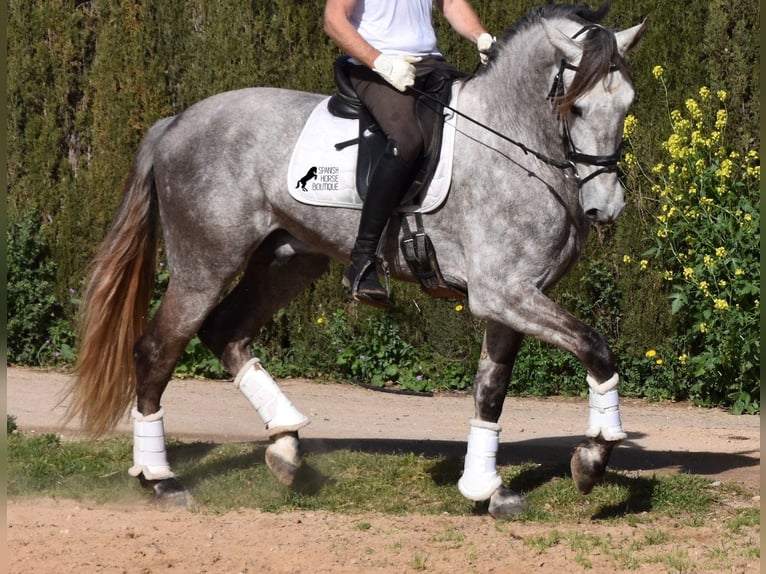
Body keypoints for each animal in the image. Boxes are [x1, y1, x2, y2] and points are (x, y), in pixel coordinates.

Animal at [63, 3, 644, 516]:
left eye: (628, 104)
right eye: (577, 107)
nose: (605, 206)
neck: (515, 142)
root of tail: (176, 122)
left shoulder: (513, 296)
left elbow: (491, 390)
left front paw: (487, 489)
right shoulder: (502, 293)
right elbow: (596, 349)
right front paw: (592, 459)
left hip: (288, 261)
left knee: (226, 332)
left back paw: (286, 446)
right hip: (204, 265)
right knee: (156, 351)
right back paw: (162, 479)